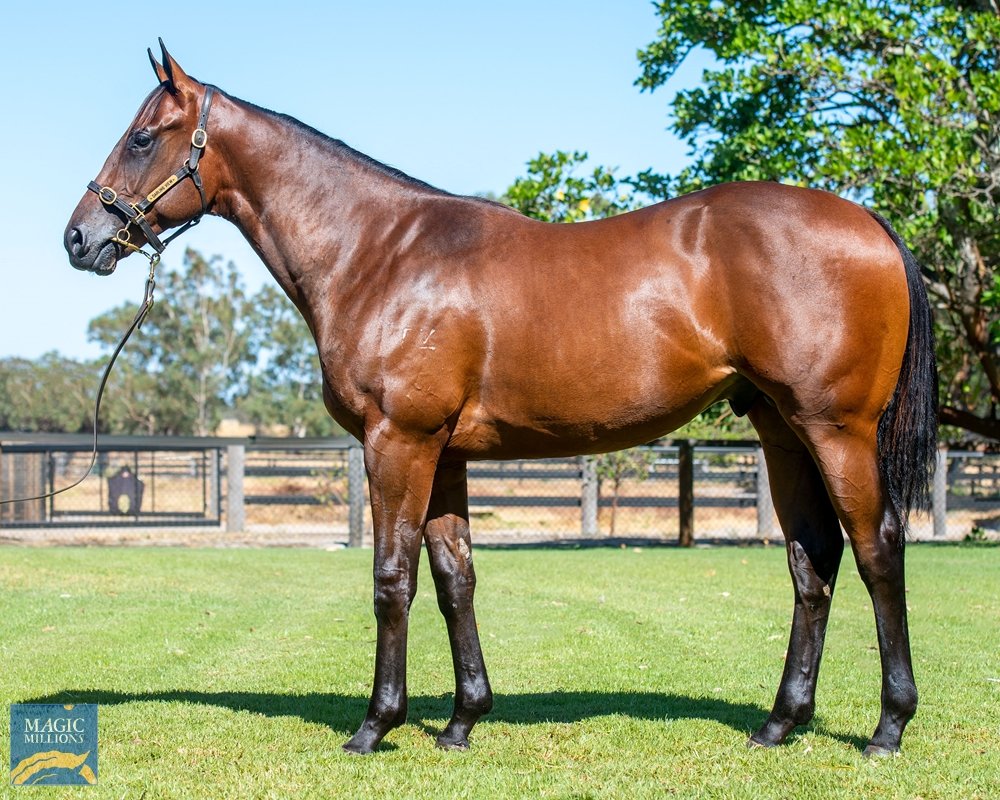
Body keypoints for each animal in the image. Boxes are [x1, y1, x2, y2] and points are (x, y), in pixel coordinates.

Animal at [64, 42, 937, 757]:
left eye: (143, 136)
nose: (79, 238)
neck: (378, 252)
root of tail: (870, 223)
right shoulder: (443, 454)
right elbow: (456, 579)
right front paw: (461, 720)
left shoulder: (398, 442)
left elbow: (391, 578)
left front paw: (377, 725)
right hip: (783, 432)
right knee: (811, 559)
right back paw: (780, 723)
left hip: (836, 431)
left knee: (877, 549)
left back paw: (889, 727)